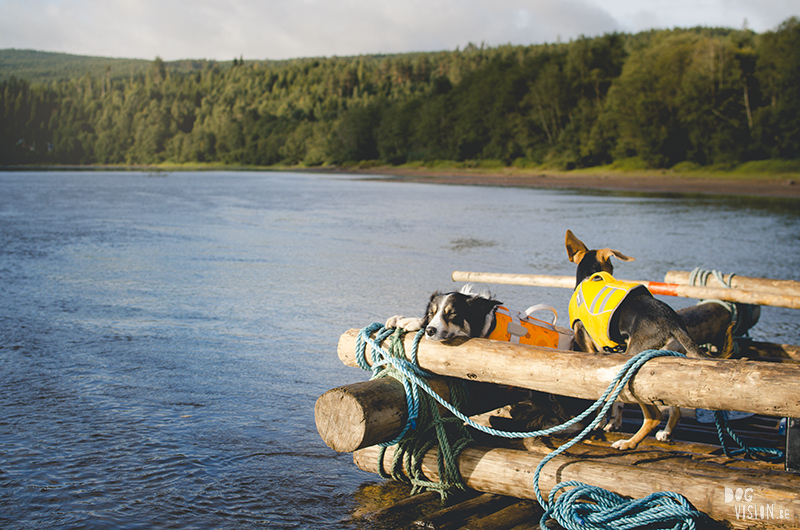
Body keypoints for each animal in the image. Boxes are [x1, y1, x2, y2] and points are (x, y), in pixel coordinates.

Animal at [564, 229, 708, 448]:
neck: (590, 276)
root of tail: (671, 322)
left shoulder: (590, 347)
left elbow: (602, 399)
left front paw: (599, 424)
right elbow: (616, 401)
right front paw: (613, 423)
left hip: (632, 364)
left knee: (654, 416)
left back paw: (628, 443)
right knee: (675, 409)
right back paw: (666, 433)